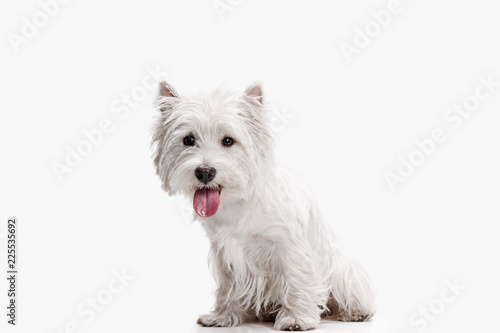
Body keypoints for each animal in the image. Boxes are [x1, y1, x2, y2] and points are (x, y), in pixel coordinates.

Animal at [152, 81, 376, 330]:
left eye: (228, 141)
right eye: (188, 140)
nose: (205, 172)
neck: (239, 202)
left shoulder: (289, 247)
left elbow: (296, 281)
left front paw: (296, 318)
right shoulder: (225, 252)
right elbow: (228, 286)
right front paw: (222, 316)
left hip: (343, 271)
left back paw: (355, 312)